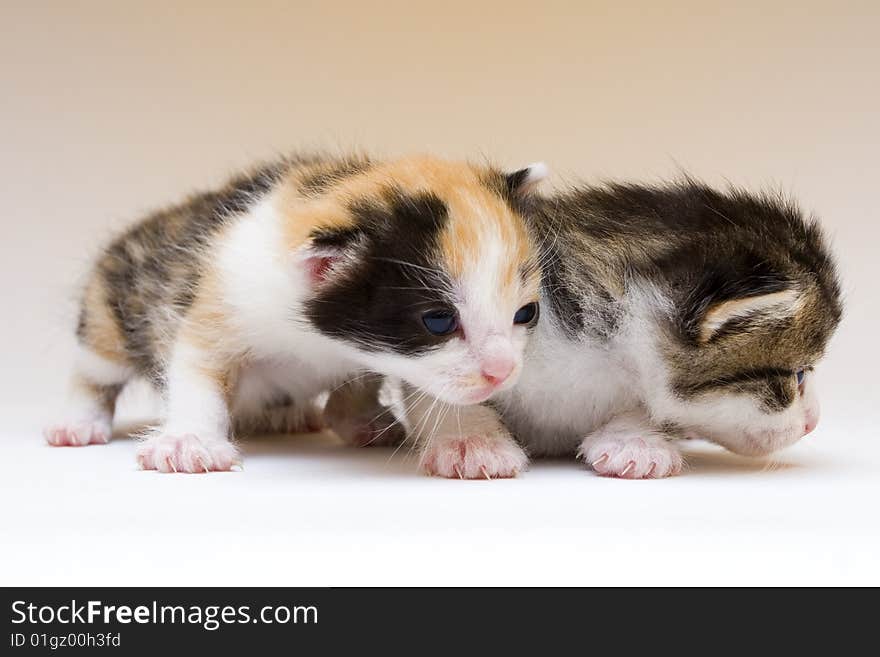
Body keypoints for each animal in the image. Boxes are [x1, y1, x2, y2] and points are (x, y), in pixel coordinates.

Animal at [48, 154, 548, 472]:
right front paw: (190, 441)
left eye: (526, 313)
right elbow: (197, 369)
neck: (317, 339)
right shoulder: (222, 296)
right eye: (438, 320)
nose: (504, 372)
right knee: (94, 371)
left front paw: (472, 443)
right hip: (108, 310)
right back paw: (77, 422)